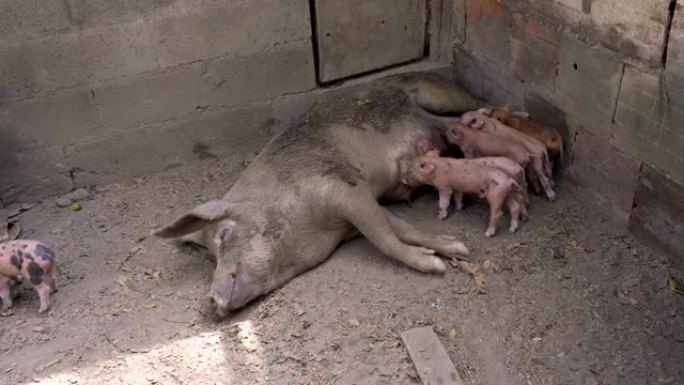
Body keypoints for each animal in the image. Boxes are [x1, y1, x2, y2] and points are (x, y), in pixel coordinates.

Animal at [158, 71, 484, 316]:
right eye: (211, 258)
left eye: (223, 234)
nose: (210, 299)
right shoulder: (358, 209)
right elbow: (400, 227)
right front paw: (455, 247)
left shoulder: (344, 188)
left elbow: (384, 239)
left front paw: (439, 265)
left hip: (436, 94)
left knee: (471, 107)